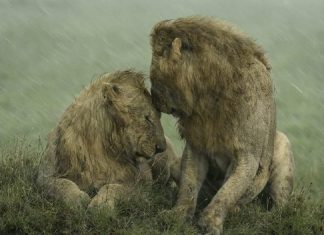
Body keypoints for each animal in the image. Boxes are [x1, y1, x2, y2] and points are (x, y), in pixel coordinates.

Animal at [37, 70, 182, 209]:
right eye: (147, 118)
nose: (161, 148)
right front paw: (79, 199)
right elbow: (62, 185)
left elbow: (113, 187)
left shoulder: (140, 186)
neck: (99, 147)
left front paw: (101, 205)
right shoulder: (44, 176)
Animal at [149, 17, 294, 235]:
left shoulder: (248, 156)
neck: (208, 98)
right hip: (174, 164)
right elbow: (188, 187)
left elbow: (228, 191)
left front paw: (211, 222)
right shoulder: (196, 146)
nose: (154, 100)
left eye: (153, 77)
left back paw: (265, 216)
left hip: (282, 144)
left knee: (280, 205)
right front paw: (178, 215)